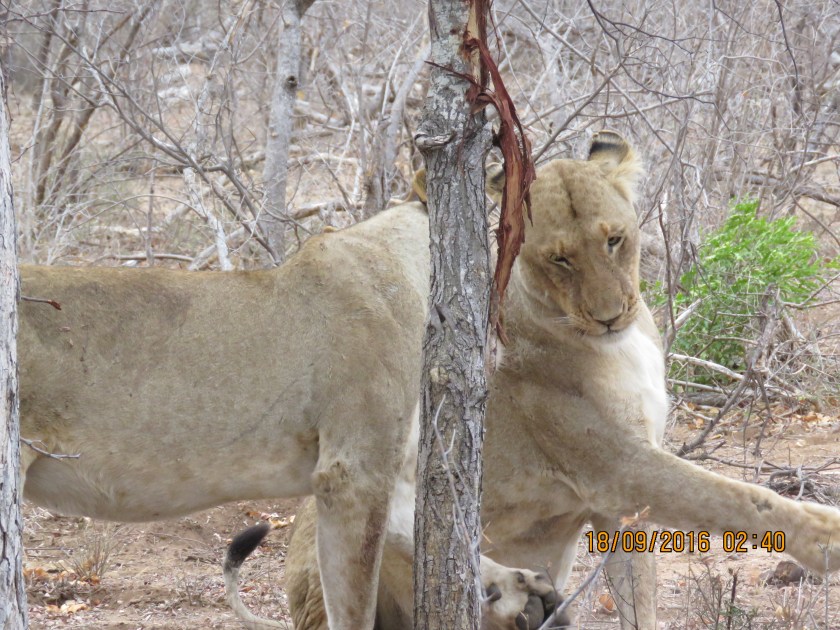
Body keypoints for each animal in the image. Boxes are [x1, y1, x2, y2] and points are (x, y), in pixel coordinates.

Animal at [225, 131, 840, 630]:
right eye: (559, 259)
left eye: (614, 239)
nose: (609, 315)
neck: (617, 347)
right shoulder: (617, 467)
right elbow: (739, 497)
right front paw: (825, 539)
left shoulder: (618, 503)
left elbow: (640, 598)